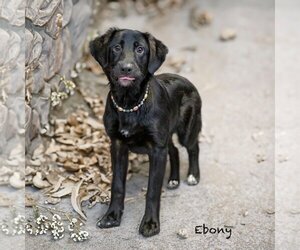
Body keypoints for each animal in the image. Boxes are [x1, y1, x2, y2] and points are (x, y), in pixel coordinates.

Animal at [89, 28, 202, 237]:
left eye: (140, 49)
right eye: (116, 47)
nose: (126, 68)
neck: (129, 104)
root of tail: (186, 80)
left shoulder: (157, 150)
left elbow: (152, 191)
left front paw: (150, 223)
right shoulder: (118, 145)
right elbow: (117, 185)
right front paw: (112, 216)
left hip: (187, 129)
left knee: (193, 147)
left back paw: (192, 175)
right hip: (166, 136)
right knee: (174, 150)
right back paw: (174, 179)